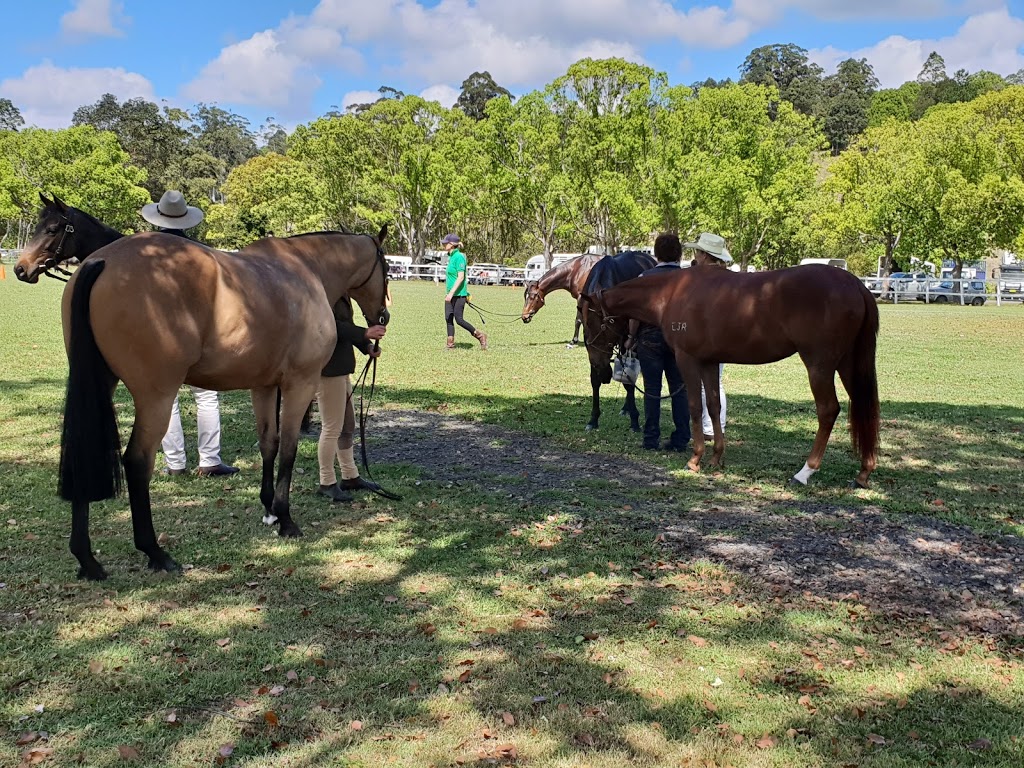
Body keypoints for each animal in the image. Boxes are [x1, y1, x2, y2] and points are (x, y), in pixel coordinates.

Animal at [16, 195, 391, 581]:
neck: (304, 270)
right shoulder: (300, 382)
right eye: (388, 267)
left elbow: (268, 444)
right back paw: (155, 551)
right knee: (137, 461)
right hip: (156, 396)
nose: (383, 317)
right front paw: (286, 519)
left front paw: (269, 509)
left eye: (53, 228)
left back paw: (88, 559)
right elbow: (287, 448)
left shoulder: (263, 386)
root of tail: (101, 261)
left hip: (100, 385)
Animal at [593, 264, 880, 487]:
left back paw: (804, 472)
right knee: (863, 406)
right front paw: (715, 457)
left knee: (828, 410)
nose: (599, 367)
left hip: (819, 365)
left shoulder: (687, 359)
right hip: (847, 363)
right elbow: (713, 405)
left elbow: (694, 407)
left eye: (594, 318)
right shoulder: (709, 362)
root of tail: (856, 285)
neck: (672, 293)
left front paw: (695, 459)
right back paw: (863, 473)